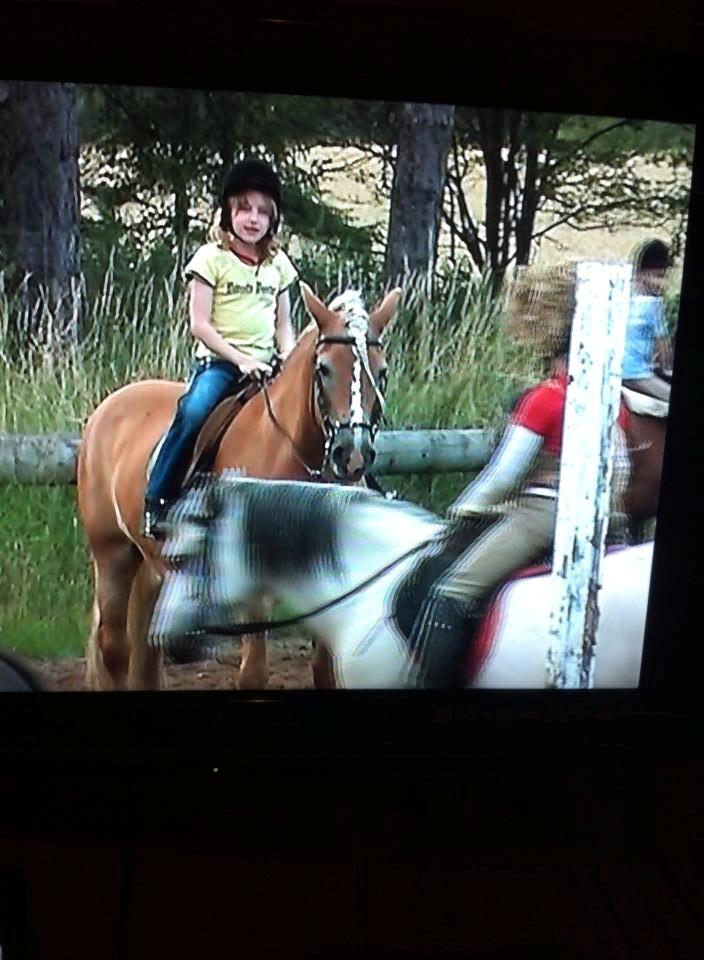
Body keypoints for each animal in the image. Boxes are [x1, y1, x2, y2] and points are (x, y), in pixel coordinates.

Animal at [79, 284, 398, 688]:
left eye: (382, 371)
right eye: (323, 369)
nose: (352, 453)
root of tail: (106, 408)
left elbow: (325, 671)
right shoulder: (252, 586)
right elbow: (254, 674)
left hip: (151, 563)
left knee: (146, 653)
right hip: (112, 552)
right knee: (115, 648)